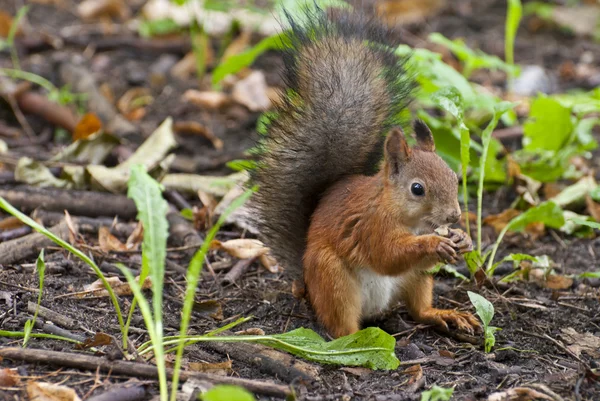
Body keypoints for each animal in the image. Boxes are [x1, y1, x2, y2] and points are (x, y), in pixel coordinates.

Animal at [248, 6, 482, 338]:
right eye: (417, 189)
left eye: (454, 178)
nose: (453, 216)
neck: (408, 219)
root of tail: (307, 287)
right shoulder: (372, 225)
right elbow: (387, 256)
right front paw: (434, 243)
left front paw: (462, 239)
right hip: (333, 278)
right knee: (341, 325)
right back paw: (354, 338)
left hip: (416, 278)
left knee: (418, 308)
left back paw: (442, 314)